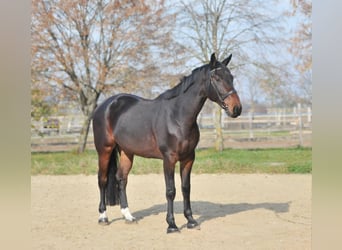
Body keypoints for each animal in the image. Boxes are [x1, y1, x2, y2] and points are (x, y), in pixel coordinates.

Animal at [93, 52, 242, 232]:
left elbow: (186, 188)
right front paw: (171, 224)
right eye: (217, 78)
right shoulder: (169, 159)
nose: (237, 108)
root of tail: (105, 105)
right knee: (102, 180)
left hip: (127, 152)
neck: (177, 117)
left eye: (231, 77)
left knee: (121, 179)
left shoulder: (188, 158)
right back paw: (103, 217)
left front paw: (191, 220)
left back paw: (128, 216)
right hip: (104, 150)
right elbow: (170, 190)